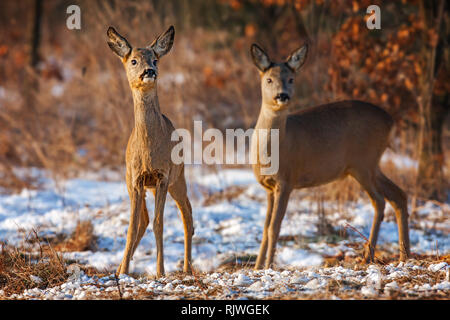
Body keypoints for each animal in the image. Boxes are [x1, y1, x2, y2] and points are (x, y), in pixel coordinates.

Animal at [108, 26, 194, 276]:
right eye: (134, 60)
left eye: (155, 59)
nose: (149, 71)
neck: (149, 150)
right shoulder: (137, 179)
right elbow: (132, 226)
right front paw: (123, 272)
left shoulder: (163, 176)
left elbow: (159, 223)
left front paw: (160, 271)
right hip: (131, 182)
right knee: (143, 221)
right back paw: (119, 268)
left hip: (178, 177)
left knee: (187, 215)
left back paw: (187, 268)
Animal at [250, 41, 412, 268]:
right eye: (269, 79)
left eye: (291, 79)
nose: (282, 95)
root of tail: (391, 122)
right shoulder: (268, 187)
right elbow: (265, 229)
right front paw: (257, 267)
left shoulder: (287, 180)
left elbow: (274, 228)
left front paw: (267, 267)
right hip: (370, 165)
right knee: (398, 195)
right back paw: (404, 255)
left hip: (363, 162)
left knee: (379, 201)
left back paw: (368, 256)